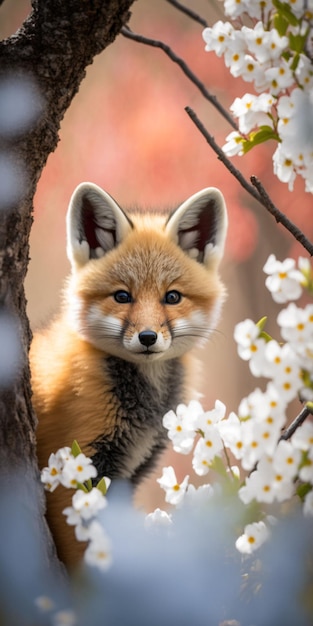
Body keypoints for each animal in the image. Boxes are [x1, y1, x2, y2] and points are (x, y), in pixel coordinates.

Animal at [29, 180, 227, 564]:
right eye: (122, 296)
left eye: (172, 297)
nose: (148, 337)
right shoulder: (70, 474)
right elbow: (86, 560)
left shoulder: (127, 475)